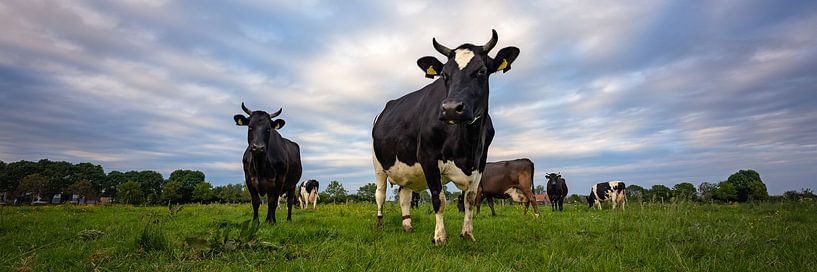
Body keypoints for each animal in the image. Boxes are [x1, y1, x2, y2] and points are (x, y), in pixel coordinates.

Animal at [372, 29, 520, 244]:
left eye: (482, 71)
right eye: (444, 74)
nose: (450, 108)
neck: (468, 145)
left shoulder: (480, 162)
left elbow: (469, 199)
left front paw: (467, 233)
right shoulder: (428, 157)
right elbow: (438, 199)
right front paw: (440, 237)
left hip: (406, 170)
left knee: (404, 195)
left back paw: (407, 226)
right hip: (378, 165)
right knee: (380, 194)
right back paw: (380, 225)